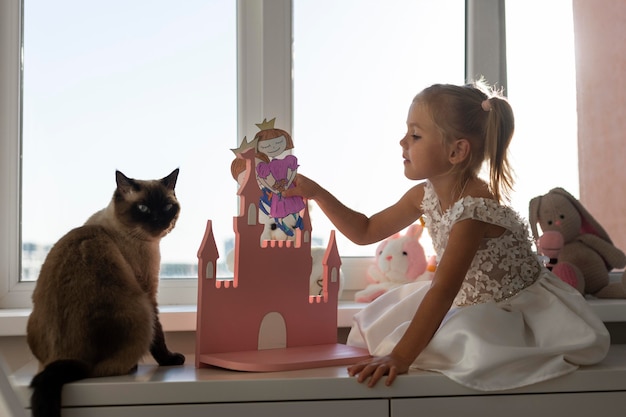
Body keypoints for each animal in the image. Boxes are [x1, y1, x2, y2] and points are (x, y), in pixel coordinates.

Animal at [27, 169, 183, 416]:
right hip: (143, 310)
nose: (161, 221)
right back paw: (132, 366)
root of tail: (70, 357)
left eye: (167, 207)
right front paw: (170, 359)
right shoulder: (149, 292)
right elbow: (159, 337)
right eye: (143, 209)